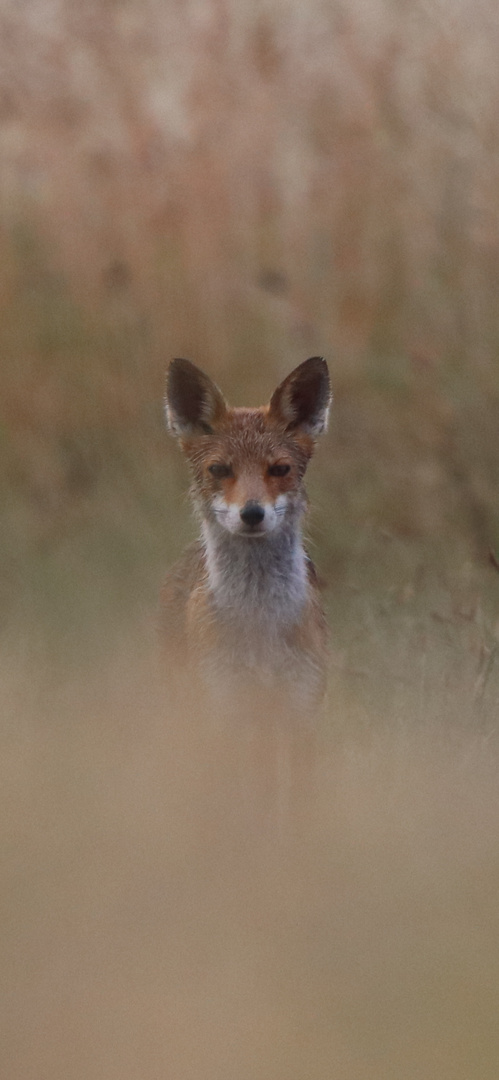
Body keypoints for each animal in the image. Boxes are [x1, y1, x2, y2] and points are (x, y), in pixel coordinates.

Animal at [160, 358, 330, 721]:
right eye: (219, 470)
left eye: (279, 469)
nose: (252, 513)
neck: (258, 621)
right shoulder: (221, 702)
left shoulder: (301, 705)